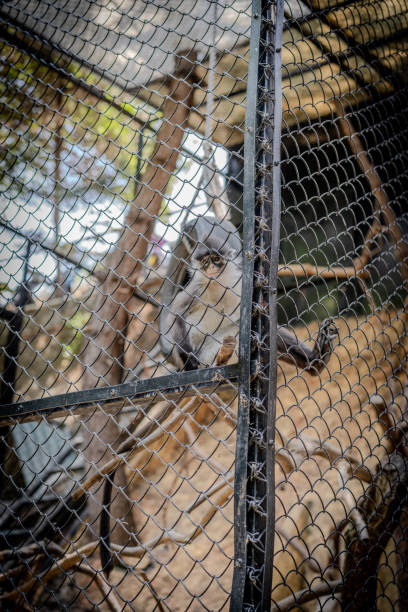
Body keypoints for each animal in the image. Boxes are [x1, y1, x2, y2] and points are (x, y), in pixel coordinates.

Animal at [163, 215, 338, 378]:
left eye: (216, 259)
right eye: (205, 261)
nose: (211, 267)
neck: (219, 284)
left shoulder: (240, 282)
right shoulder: (198, 287)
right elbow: (175, 314)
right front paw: (187, 358)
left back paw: (316, 360)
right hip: (204, 353)